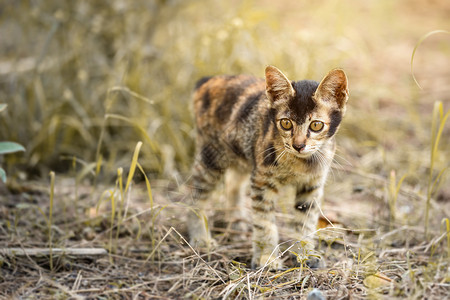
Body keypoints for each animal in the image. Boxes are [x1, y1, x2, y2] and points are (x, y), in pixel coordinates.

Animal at [186, 66, 348, 270]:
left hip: (242, 155)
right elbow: (264, 222)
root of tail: (209, 79)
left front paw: (305, 254)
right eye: (286, 123)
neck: (300, 163)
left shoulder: (312, 185)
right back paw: (201, 238)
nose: (298, 145)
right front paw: (267, 258)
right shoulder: (262, 181)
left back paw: (236, 221)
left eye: (316, 125)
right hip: (212, 157)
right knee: (196, 195)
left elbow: (306, 221)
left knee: (232, 184)